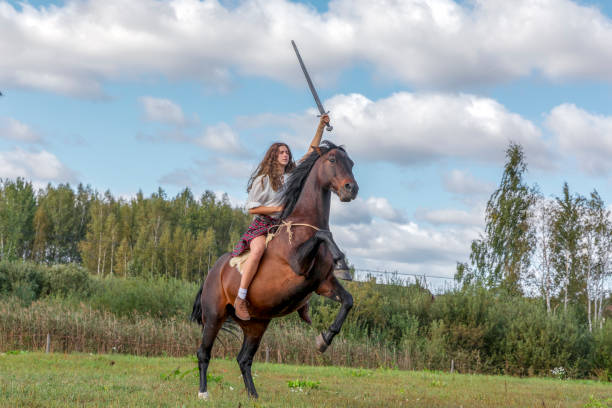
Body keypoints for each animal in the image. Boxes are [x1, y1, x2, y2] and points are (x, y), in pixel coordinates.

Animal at [191, 140, 358, 398]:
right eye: (332, 160)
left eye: (351, 163)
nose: (351, 189)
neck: (303, 224)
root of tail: (211, 274)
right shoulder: (298, 265)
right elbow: (323, 234)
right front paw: (341, 261)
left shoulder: (322, 283)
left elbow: (347, 300)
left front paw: (324, 340)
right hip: (213, 317)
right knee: (203, 353)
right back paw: (203, 393)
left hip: (256, 325)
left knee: (244, 359)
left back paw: (253, 396)